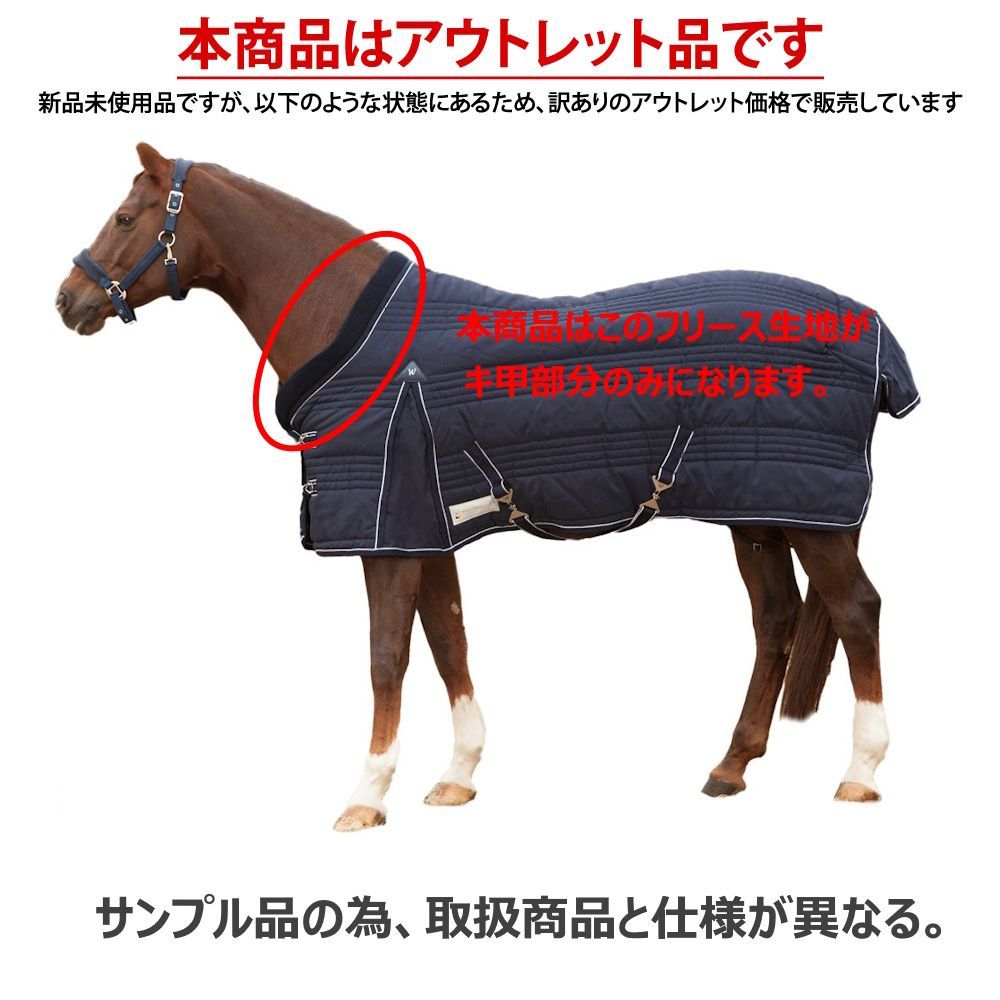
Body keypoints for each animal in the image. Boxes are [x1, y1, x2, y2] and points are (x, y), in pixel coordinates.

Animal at [56, 143, 913, 831]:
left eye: (127, 217)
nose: (69, 300)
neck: (356, 333)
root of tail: (870, 326)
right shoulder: (423, 528)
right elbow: (447, 639)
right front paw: (456, 776)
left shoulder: (387, 531)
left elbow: (387, 656)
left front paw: (366, 795)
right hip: (759, 509)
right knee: (776, 620)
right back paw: (730, 766)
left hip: (813, 518)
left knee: (856, 610)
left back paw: (860, 773)